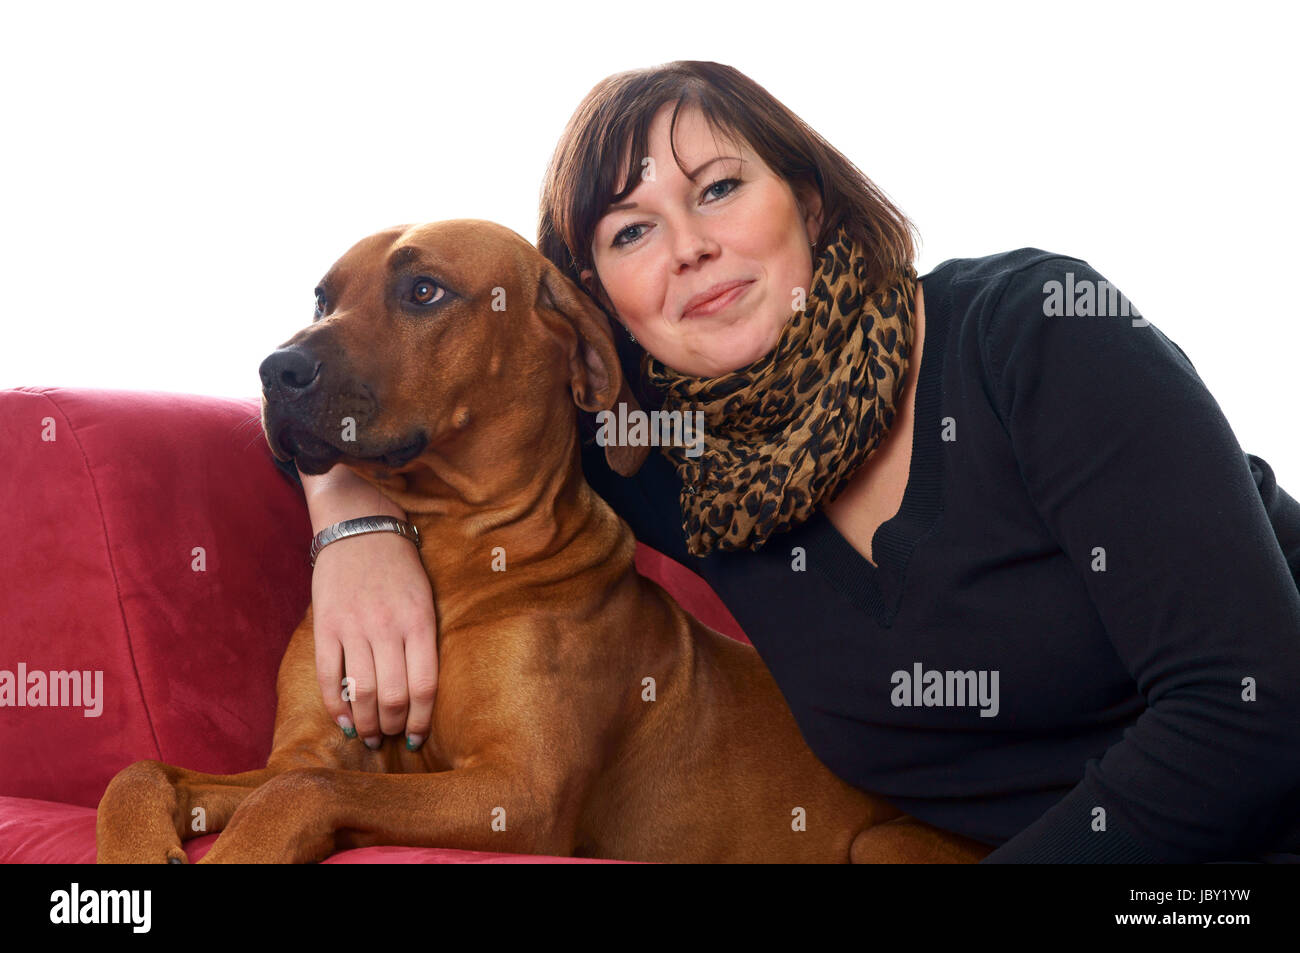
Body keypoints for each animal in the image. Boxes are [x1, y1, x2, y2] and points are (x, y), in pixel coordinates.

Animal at [96, 221, 987, 863]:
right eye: (321, 298)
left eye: (424, 290)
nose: (273, 370)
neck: (451, 554)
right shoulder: (311, 746)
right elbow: (144, 770)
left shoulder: (518, 794)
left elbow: (303, 790)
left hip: (883, 844)